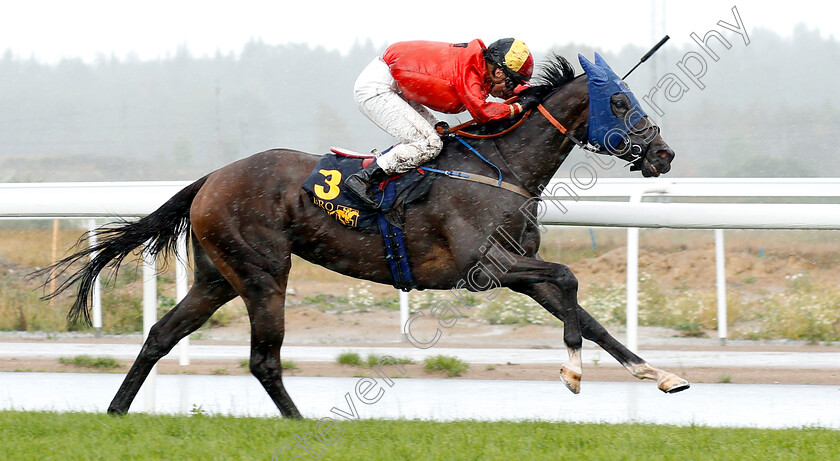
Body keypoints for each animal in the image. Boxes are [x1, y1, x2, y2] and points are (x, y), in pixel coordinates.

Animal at [41, 54, 684, 416]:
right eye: (619, 101)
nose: (664, 154)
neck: (501, 167)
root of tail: (212, 177)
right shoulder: (485, 270)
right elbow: (571, 280)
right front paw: (572, 373)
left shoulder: (521, 271)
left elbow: (589, 316)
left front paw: (660, 375)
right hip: (263, 273)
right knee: (263, 360)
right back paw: (299, 423)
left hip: (217, 277)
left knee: (160, 335)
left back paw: (116, 410)